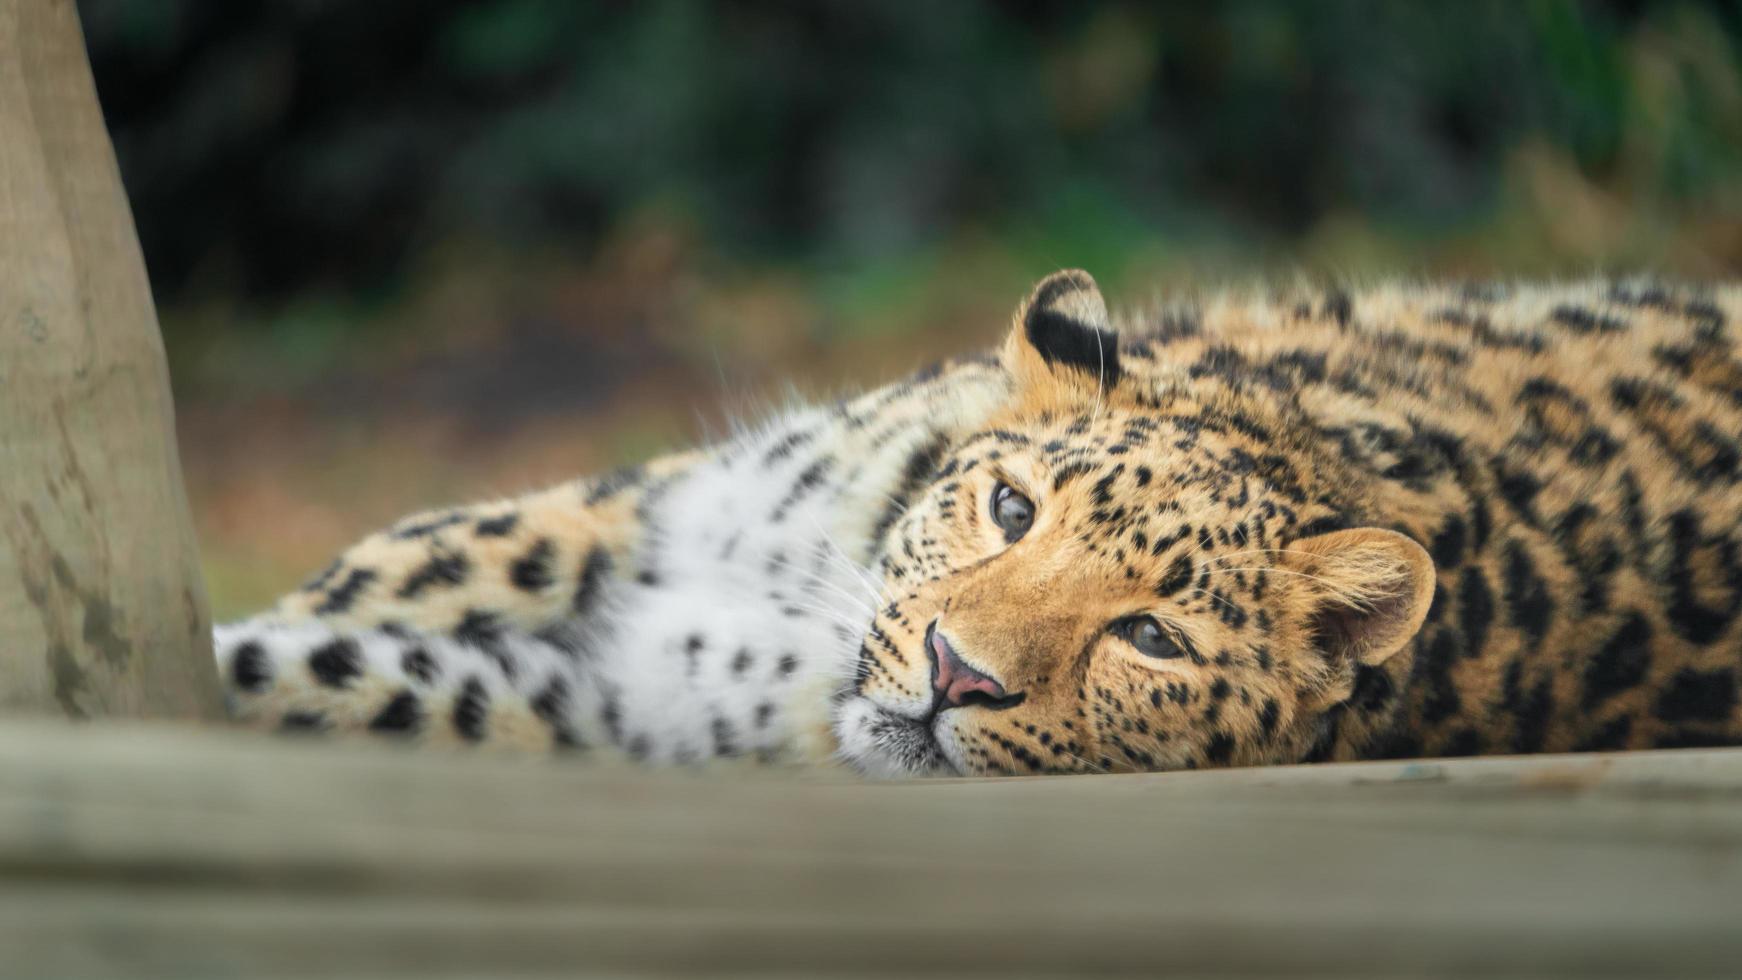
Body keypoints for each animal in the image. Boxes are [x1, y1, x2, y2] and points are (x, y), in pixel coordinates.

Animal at [214, 268, 1742, 776]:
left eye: (1151, 640)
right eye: (1008, 508)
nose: (958, 676)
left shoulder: (624, 712)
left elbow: (355, 680)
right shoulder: (643, 511)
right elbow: (398, 574)